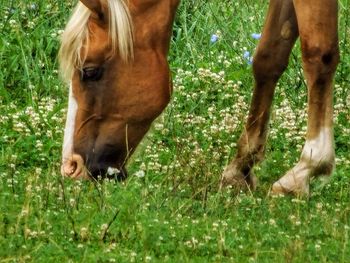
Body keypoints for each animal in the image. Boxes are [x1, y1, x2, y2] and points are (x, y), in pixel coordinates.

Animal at [59, 0, 340, 196]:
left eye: (89, 71)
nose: (71, 167)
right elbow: (269, 56)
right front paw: (240, 167)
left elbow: (318, 53)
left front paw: (307, 167)